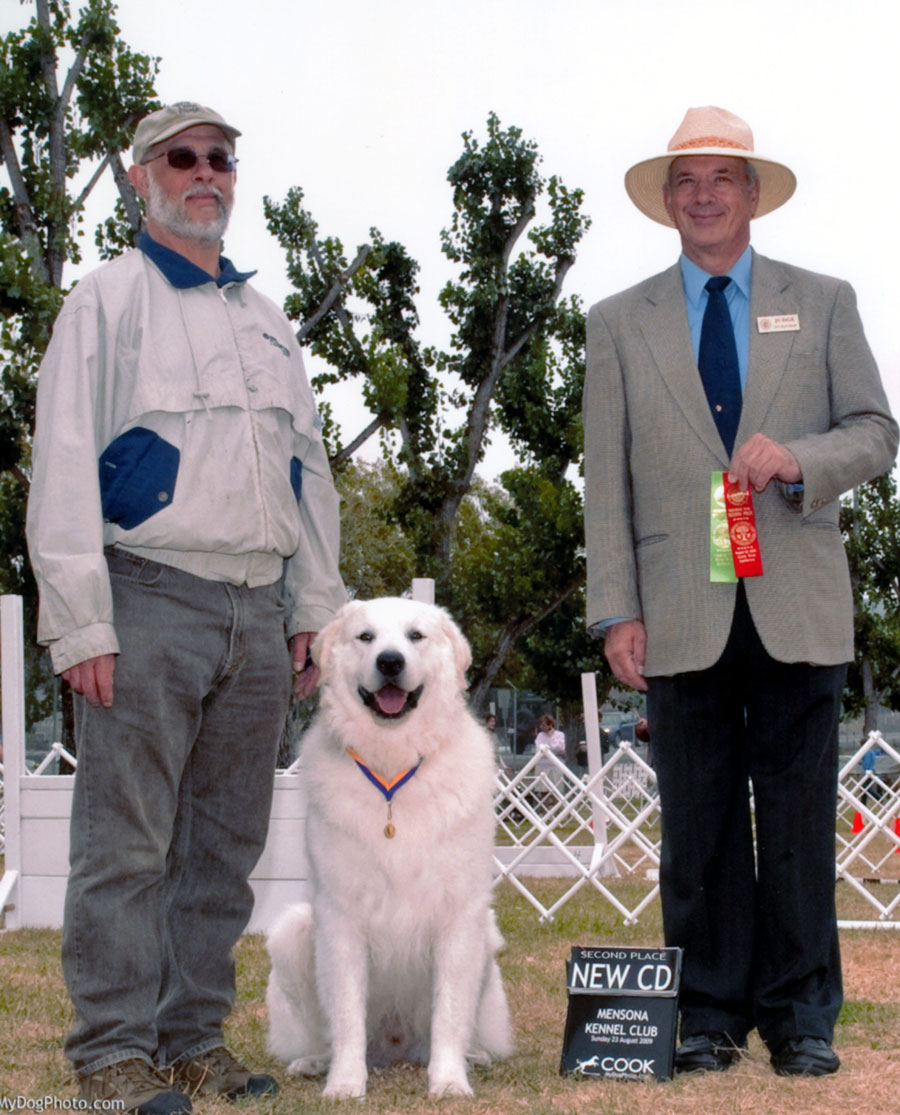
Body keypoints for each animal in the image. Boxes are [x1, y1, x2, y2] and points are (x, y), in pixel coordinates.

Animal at [264, 602, 510, 1097]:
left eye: (415, 636)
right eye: (366, 637)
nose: (390, 662)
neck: (393, 765)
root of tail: (394, 1049)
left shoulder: (460, 916)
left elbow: (449, 1012)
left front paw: (449, 1081)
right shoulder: (339, 917)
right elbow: (345, 1015)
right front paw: (344, 1084)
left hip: (487, 937)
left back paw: (472, 1058)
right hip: (291, 933)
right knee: (327, 1031)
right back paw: (316, 1062)